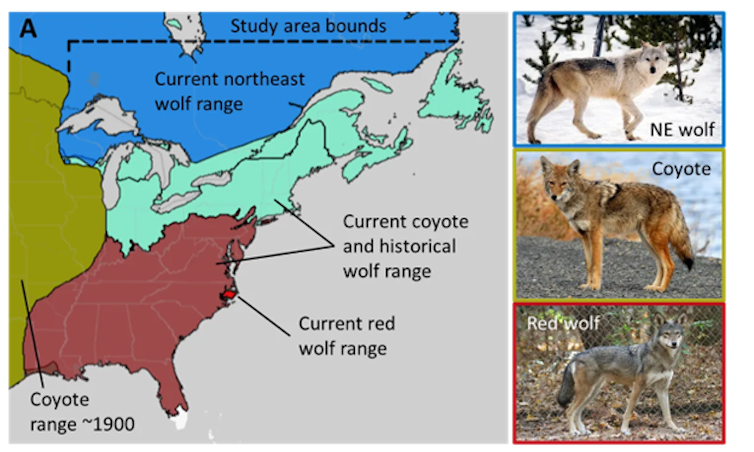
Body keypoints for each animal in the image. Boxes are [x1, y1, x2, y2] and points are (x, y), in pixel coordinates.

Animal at [526, 41, 669, 144]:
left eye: (657, 58)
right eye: (647, 59)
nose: (652, 69)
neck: (637, 69)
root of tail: (553, 64)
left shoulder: (625, 100)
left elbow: (627, 120)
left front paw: (630, 137)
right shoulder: (623, 98)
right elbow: (640, 116)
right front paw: (628, 131)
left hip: (555, 102)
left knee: (533, 119)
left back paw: (532, 140)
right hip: (583, 95)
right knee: (576, 121)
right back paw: (593, 135)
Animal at [540, 156, 694, 292]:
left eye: (564, 183)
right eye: (551, 182)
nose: (554, 196)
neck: (579, 200)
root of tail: (670, 194)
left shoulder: (596, 234)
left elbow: (596, 264)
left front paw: (595, 286)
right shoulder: (584, 236)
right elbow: (589, 264)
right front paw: (588, 285)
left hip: (654, 240)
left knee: (670, 264)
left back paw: (661, 289)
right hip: (648, 242)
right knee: (661, 265)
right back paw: (653, 286)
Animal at [557, 312, 688, 436]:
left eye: (677, 333)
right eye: (666, 333)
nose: (674, 343)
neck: (662, 359)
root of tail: (576, 356)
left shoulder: (662, 388)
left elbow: (668, 414)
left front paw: (675, 429)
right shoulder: (637, 386)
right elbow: (628, 412)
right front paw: (624, 430)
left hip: (591, 393)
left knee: (577, 412)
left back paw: (583, 431)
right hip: (586, 392)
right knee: (569, 411)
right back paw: (574, 432)